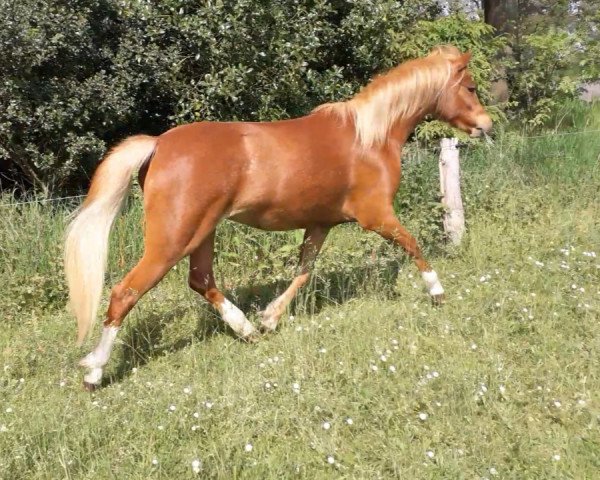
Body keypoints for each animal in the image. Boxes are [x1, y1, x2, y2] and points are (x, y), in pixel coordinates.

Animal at [64, 45, 492, 390]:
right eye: (470, 87)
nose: (487, 126)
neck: (371, 137)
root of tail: (158, 145)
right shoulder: (376, 215)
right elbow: (412, 244)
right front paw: (437, 292)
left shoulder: (320, 223)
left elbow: (303, 271)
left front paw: (269, 319)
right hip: (172, 238)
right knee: (125, 292)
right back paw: (94, 372)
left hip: (202, 232)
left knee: (201, 281)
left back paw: (247, 330)